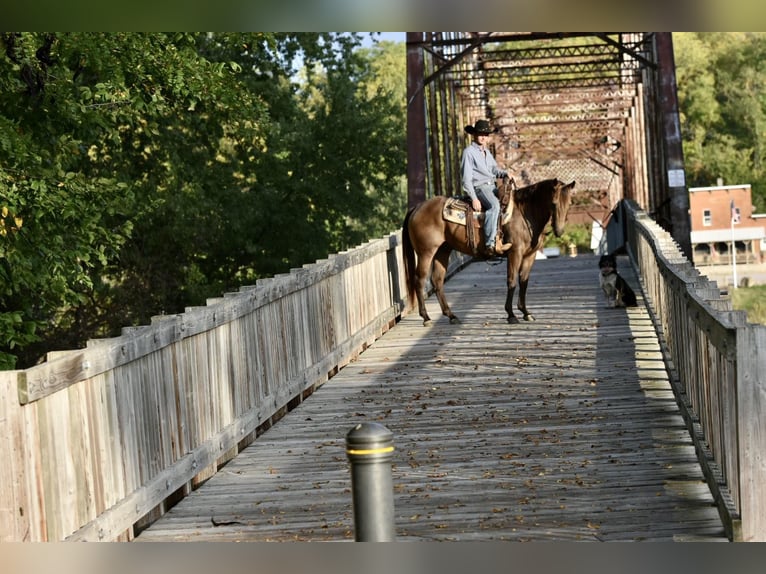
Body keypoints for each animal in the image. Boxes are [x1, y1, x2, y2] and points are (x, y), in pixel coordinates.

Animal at [402, 178, 576, 326]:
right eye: (553, 203)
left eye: (569, 203)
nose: (559, 230)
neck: (524, 214)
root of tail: (417, 208)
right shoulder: (515, 253)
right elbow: (512, 281)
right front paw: (511, 315)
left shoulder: (529, 256)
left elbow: (524, 281)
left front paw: (526, 313)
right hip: (426, 253)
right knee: (420, 280)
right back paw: (426, 318)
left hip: (442, 251)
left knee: (437, 280)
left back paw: (451, 316)